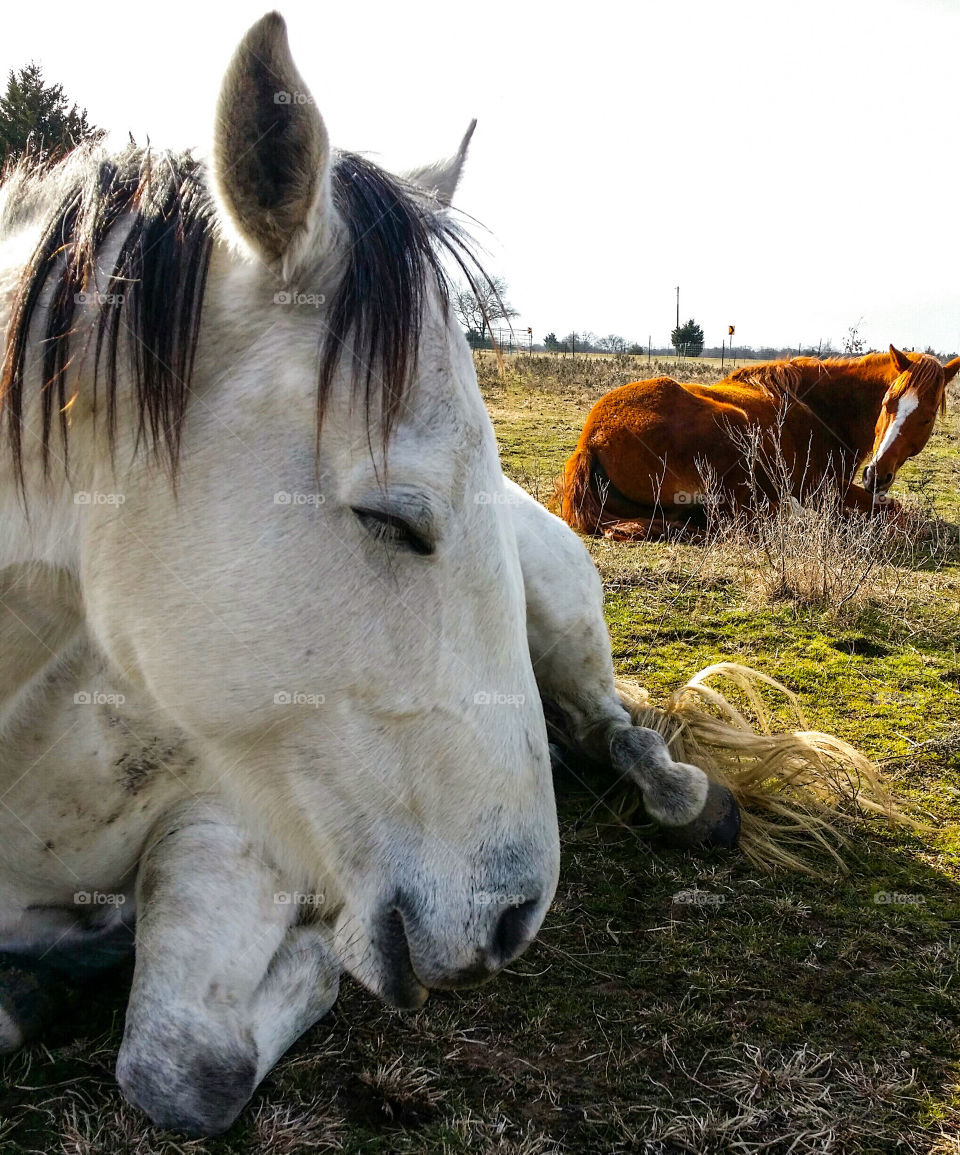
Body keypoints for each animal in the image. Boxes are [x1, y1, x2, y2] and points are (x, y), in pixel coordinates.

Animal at [0, 11, 734, 1136]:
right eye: (392, 516)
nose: (516, 916)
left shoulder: (231, 824)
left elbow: (182, 1067)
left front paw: (296, 954)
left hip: (566, 625)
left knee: (618, 726)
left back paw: (685, 793)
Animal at [559, 344, 956, 538]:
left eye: (926, 416)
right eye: (888, 404)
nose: (876, 475)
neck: (820, 407)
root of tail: (591, 439)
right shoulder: (823, 488)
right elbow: (897, 512)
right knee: (742, 519)